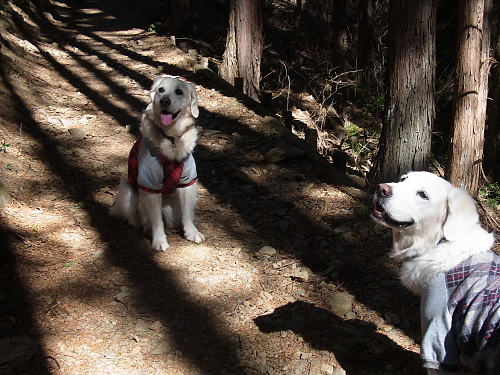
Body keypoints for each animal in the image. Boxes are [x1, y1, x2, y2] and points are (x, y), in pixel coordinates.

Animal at [111, 77, 205, 251]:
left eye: (179, 91)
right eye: (161, 90)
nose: (164, 101)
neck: (172, 138)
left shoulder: (188, 182)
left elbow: (187, 214)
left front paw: (191, 232)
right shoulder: (150, 185)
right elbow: (156, 220)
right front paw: (159, 240)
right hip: (127, 191)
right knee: (137, 218)